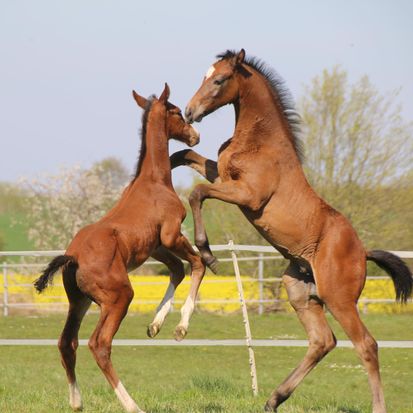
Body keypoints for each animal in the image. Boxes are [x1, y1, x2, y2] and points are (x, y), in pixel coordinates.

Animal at [33, 83, 204, 412]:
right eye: (177, 112)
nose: (195, 135)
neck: (154, 181)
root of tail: (73, 256)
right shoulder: (171, 235)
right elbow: (198, 263)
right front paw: (180, 328)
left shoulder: (154, 247)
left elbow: (177, 269)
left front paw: (155, 325)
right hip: (118, 297)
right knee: (98, 344)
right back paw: (132, 404)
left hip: (79, 301)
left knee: (67, 342)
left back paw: (76, 401)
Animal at [175, 50, 410, 412]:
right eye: (205, 75)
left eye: (219, 80)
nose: (189, 111)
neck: (261, 141)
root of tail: (362, 252)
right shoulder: (225, 177)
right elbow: (185, 155)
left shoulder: (248, 195)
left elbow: (198, 192)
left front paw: (208, 253)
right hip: (300, 293)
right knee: (322, 341)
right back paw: (274, 399)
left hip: (339, 299)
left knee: (366, 344)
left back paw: (375, 406)